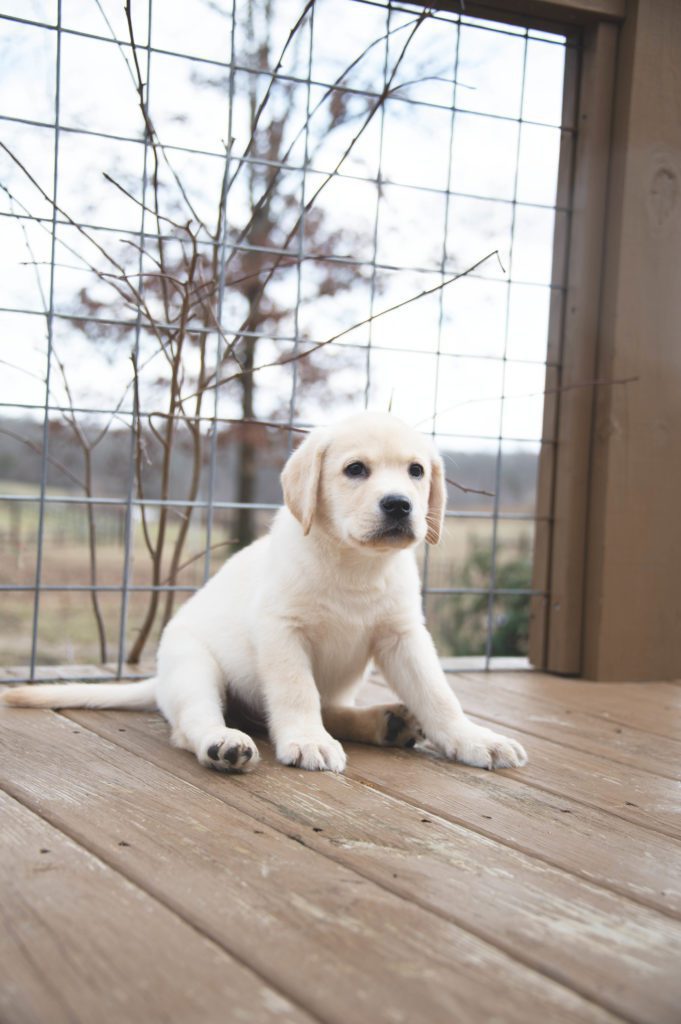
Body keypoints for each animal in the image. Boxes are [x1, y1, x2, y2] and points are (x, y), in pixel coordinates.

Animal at [1, 411, 524, 770]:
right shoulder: (282, 632)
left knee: (332, 707)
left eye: (416, 471)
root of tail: (159, 679)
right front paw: (308, 740)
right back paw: (224, 744)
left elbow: (438, 695)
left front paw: (473, 738)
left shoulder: (403, 636)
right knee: (194, 723)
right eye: (355, 470)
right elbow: (296, 693)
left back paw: (384, 722)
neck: (353, 565)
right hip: (194, 667)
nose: (399, 505)